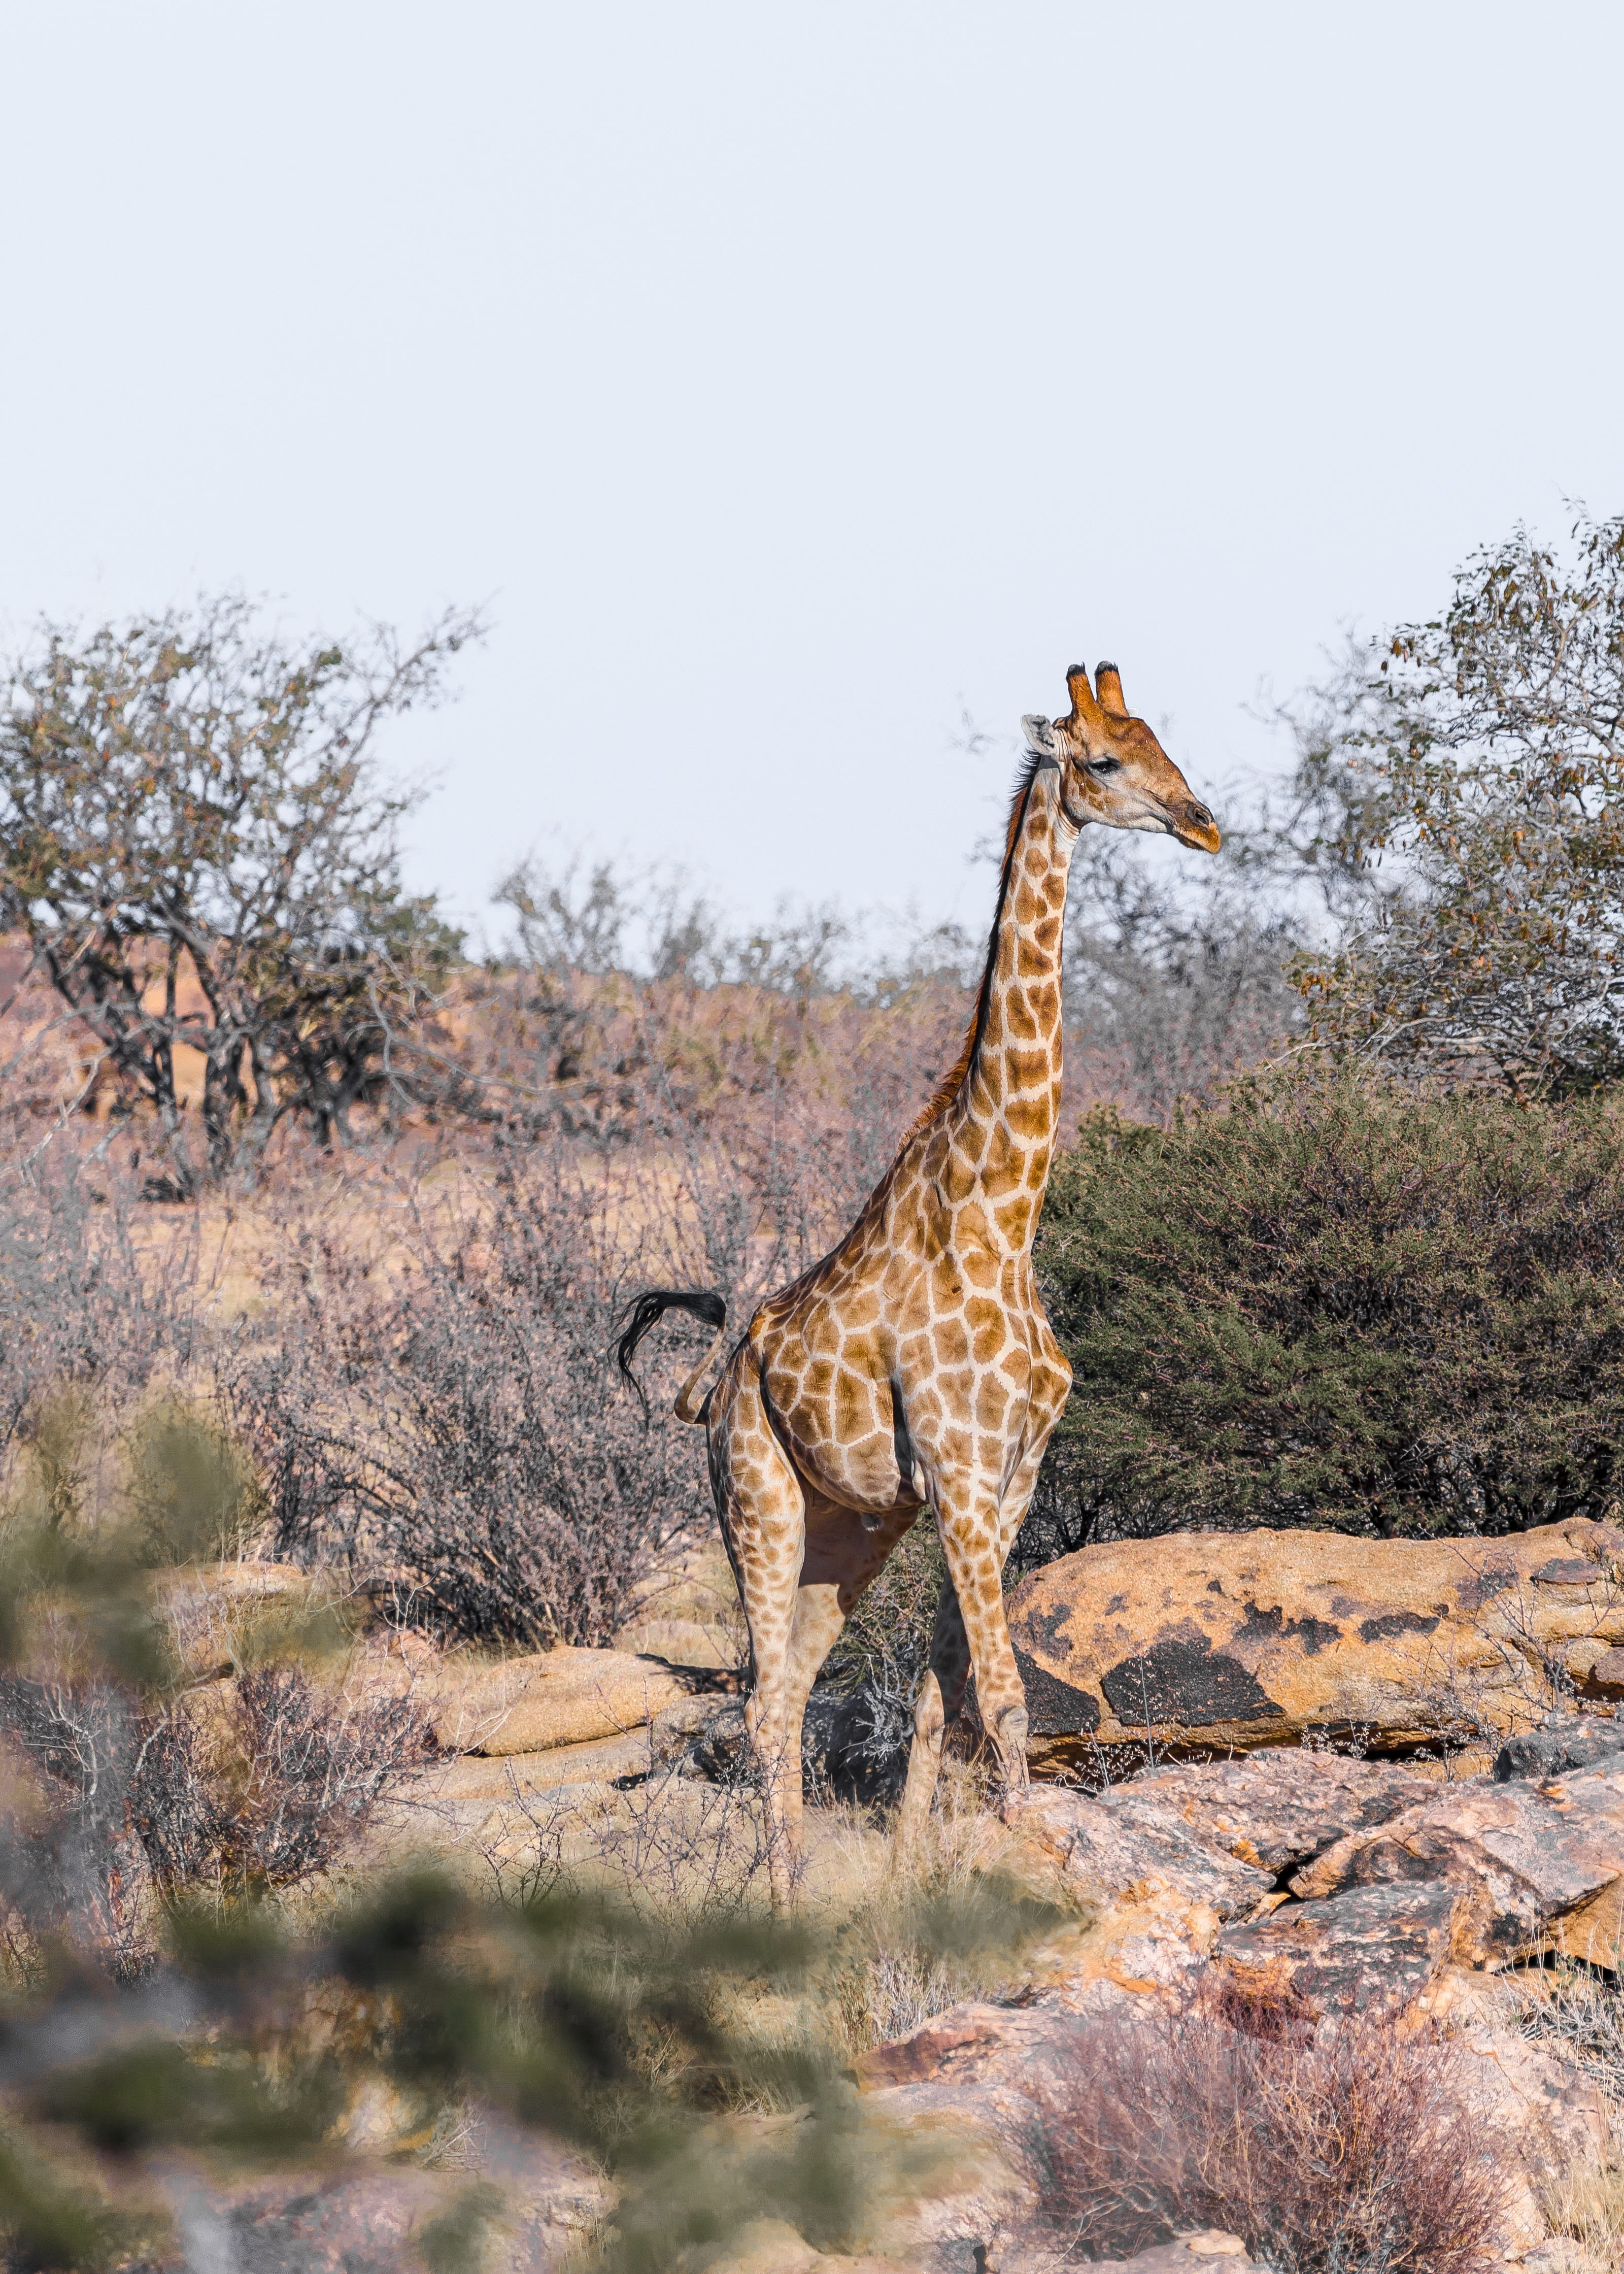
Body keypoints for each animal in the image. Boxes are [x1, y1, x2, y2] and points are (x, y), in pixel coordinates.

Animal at [618, 662, 1220, 1908]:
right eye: (1104, 761)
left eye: (1165, 744)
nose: (1203, 823)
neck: (1004, 1216)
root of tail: (716, 1380)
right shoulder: (957, 1470)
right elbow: (1002, 1697)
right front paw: (1039, 1858)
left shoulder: (1007, 1481)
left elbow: (945, 1702)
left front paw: (919, 1886)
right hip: (757, 1502)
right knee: (762, 1707)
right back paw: (781, 1905)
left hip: (849, 1530)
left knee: (791, 1691)